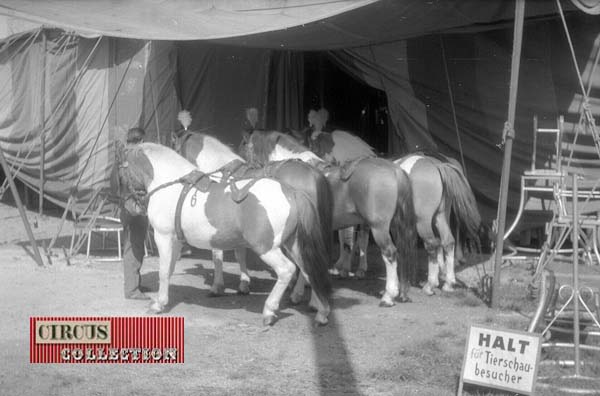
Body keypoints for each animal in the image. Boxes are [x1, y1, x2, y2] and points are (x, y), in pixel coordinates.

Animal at [113, 142, 332, 324]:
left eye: (121, 172)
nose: (129, 207)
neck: (173, 187)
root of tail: (292, 192)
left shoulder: (163, 237)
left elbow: (164, 271)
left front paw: (159, 304)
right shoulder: (176, 240)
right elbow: (170, 269)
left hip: (267, 247)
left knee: (287, 270)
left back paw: (270, 311)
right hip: (293, 243)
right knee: (309, 269)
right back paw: (321, 311)